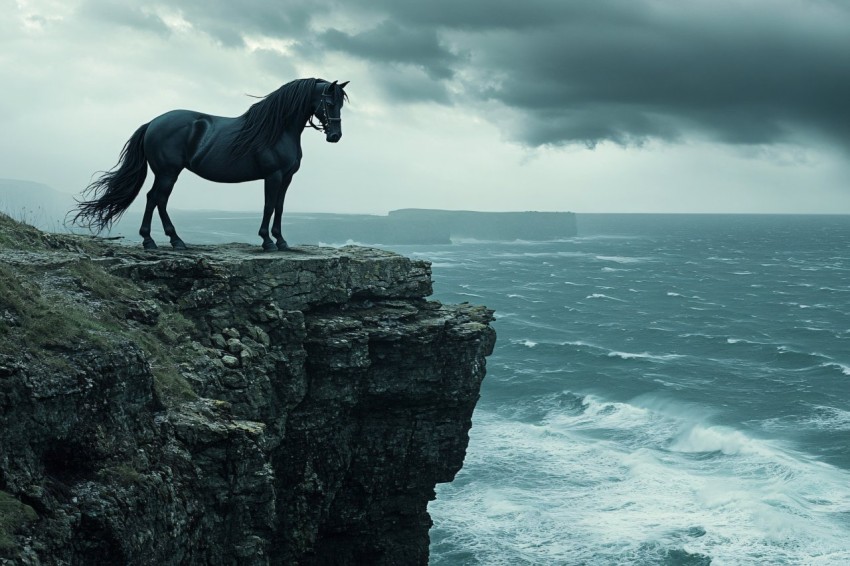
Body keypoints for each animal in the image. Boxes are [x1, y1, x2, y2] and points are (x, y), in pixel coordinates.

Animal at [73, 79, 348, 252]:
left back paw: (172, 240)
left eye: (341, 103)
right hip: (168, 172)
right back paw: (154, 241)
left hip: (167, 173)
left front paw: (281, 242)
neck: (278, 129)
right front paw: (268, 241)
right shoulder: (274, 176)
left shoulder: (287, 177)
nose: (335, 136)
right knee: (156, 198)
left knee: (158, 199)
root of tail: (153, 123)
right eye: (329, 102)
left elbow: (279, 207)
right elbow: (269, 206)